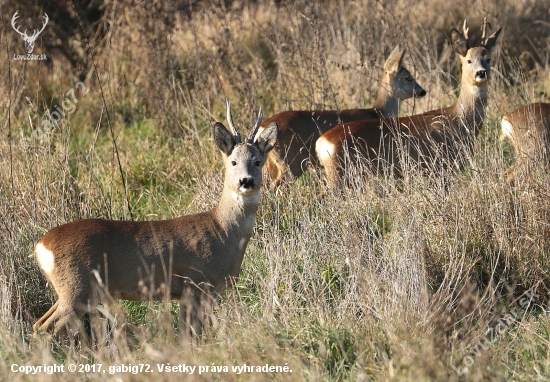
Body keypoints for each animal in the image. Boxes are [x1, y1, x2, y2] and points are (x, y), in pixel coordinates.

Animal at [32, 100, 278, 338]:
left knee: (39, 323)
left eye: (258, 161)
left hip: (70, 291)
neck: (224, 231)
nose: (246, 181)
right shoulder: (197, 283)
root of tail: (41, 245)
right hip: (77, 286)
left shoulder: (188, 293)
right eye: (233, 162)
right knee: (48, 327)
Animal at [256, 45, 430, 186]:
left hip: (270, 164)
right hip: (292, 162)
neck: (378, 112)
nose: (422, 91)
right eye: (407, 78)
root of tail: (262, 127)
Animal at [316, 19, 502, 187]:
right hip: (340, 173)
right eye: (469, 60)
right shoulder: (440, 166)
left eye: (488, 59)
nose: (481, 73)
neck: (459, 121)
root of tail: (321, 142)